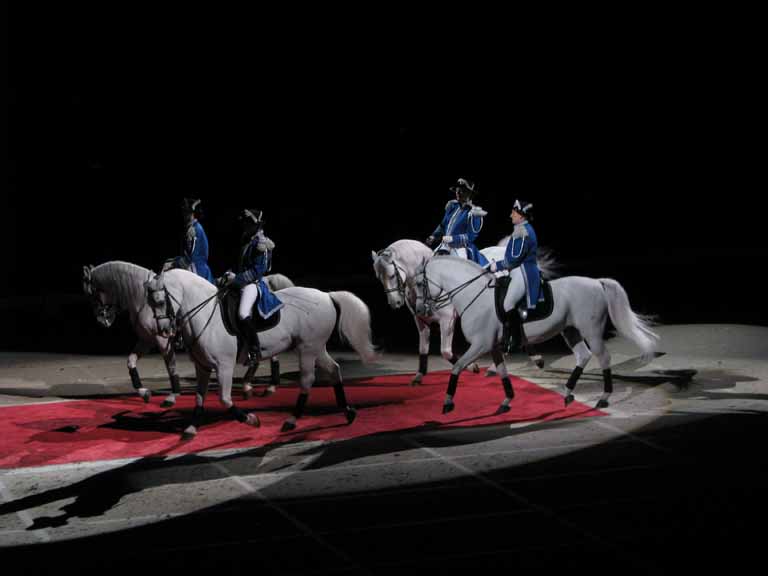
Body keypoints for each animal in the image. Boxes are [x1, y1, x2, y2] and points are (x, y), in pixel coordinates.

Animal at [84, 262, 294, 404]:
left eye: (92, 293)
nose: (102, 320)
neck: (143, 299)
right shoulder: (146, 339)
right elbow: (131, 361)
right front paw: (143, 392)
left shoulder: (161, 339)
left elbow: (171, 366)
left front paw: (173, 394)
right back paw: (252, 385)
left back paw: (267, 385)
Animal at [144, 270, 378, 436]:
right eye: (149, 302)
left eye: (161, 301)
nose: (163, 331)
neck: (205, 315)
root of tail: (327, 296)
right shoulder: (202, 367)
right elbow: (200, 398)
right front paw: (191, 428)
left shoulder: (223, 366)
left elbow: (225, 399)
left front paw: (251, 420)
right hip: (316, 348)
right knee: (334, 370)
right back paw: (348, 412)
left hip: (308, 349)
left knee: (307, 381)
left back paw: (291, 421)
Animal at [372, 238, 560, 382]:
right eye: (379, 278)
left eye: (391, 275)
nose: (395, 302)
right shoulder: (421, 320)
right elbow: (423, 348)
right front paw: (419, 375)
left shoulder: (447, 320)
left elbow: (446, 352)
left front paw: (472, 366)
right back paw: (533, 359)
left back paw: (498, 366)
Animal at [412, 256, 656, 414]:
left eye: (419, 283)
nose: (420, 309)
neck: (475, 295)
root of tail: (596, 282)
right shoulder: (493, 346)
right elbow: (502, 372)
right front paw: (506, 401)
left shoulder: (480, 345)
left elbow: (456, 366)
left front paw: (447, 402)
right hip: (570, 331)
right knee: (583, 356)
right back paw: (568, 393)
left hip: (592, 331)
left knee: (603, 357)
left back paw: (604, 398)